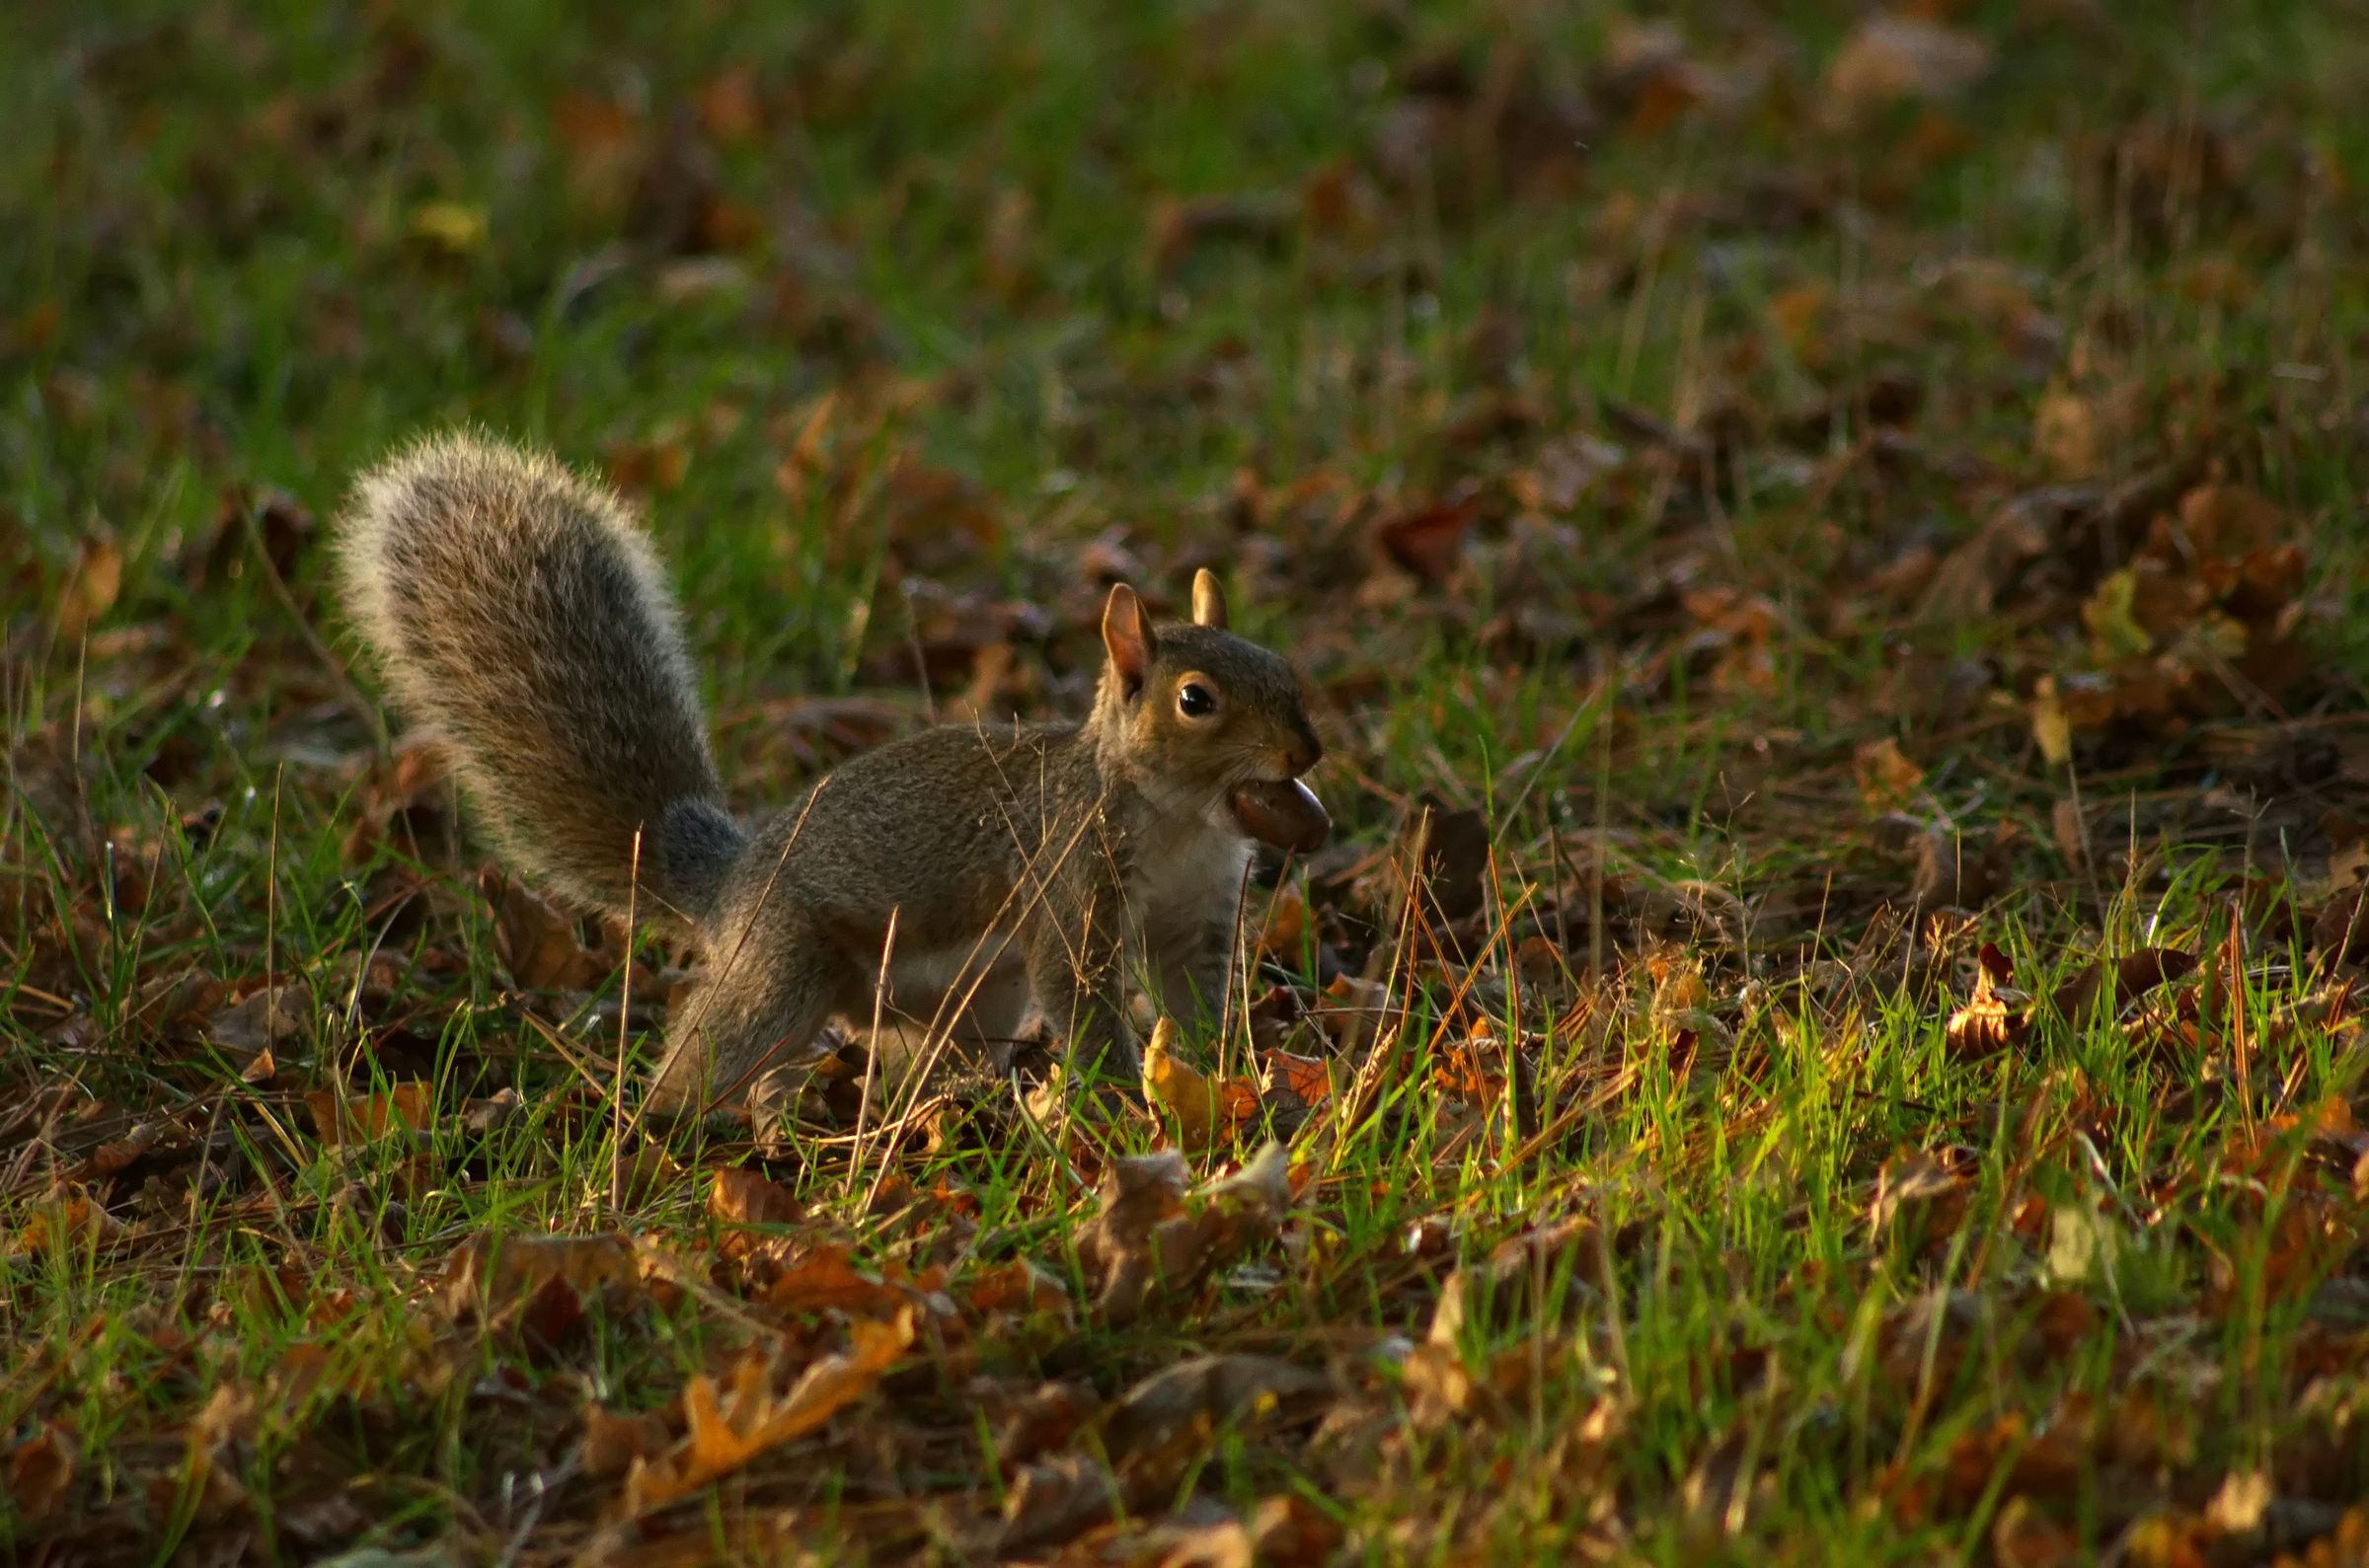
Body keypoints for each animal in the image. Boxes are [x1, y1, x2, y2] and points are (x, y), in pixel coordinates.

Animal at [334, 430, 1336, 1117]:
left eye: (1281, 664)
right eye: (1196, 699)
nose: (1305, 756)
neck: (1184, 819)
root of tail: (731, 882)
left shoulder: (1195, 916)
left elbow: (1196, 998)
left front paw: (1226, 1076)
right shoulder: (1069, 879)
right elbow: (1081, 996)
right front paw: (1125, 1105)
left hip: (963, 996)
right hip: (782, 970)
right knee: (714, 1050)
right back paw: (668, 1128)